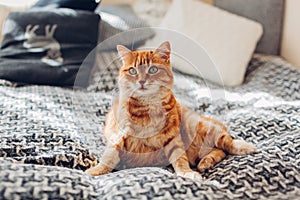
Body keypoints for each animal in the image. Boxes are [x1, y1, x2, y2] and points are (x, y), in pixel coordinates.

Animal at [86, 41, 255, 180]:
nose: (141, 81)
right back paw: (205, 163)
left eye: (153, 69)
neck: (149, 107)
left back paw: (245, 147)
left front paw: (187, 173)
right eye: (133, 71)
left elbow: (180, 159)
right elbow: (109, 157)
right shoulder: (118, 136)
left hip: (203, 127)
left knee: (227, 142)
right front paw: (95, 171)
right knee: (219, 151)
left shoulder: (172, 138)